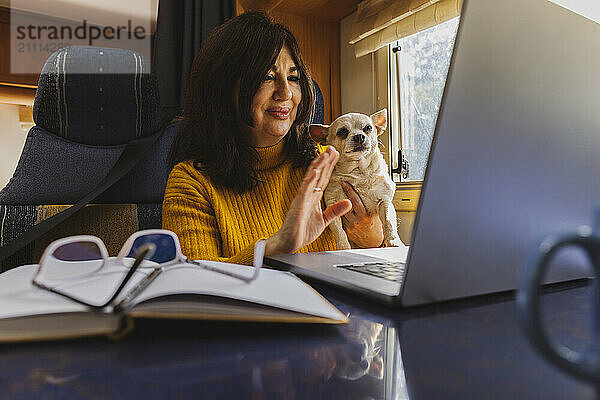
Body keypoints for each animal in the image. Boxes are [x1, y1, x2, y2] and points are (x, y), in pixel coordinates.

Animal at [310, 108, 404, 248]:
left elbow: (389, 222)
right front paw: (343, 247)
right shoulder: (333, 206)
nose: (359, 136)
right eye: (342, 132)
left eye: (368, 128)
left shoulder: (385, 201)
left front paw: (393, 241)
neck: (359, 171)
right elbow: (339, 231)